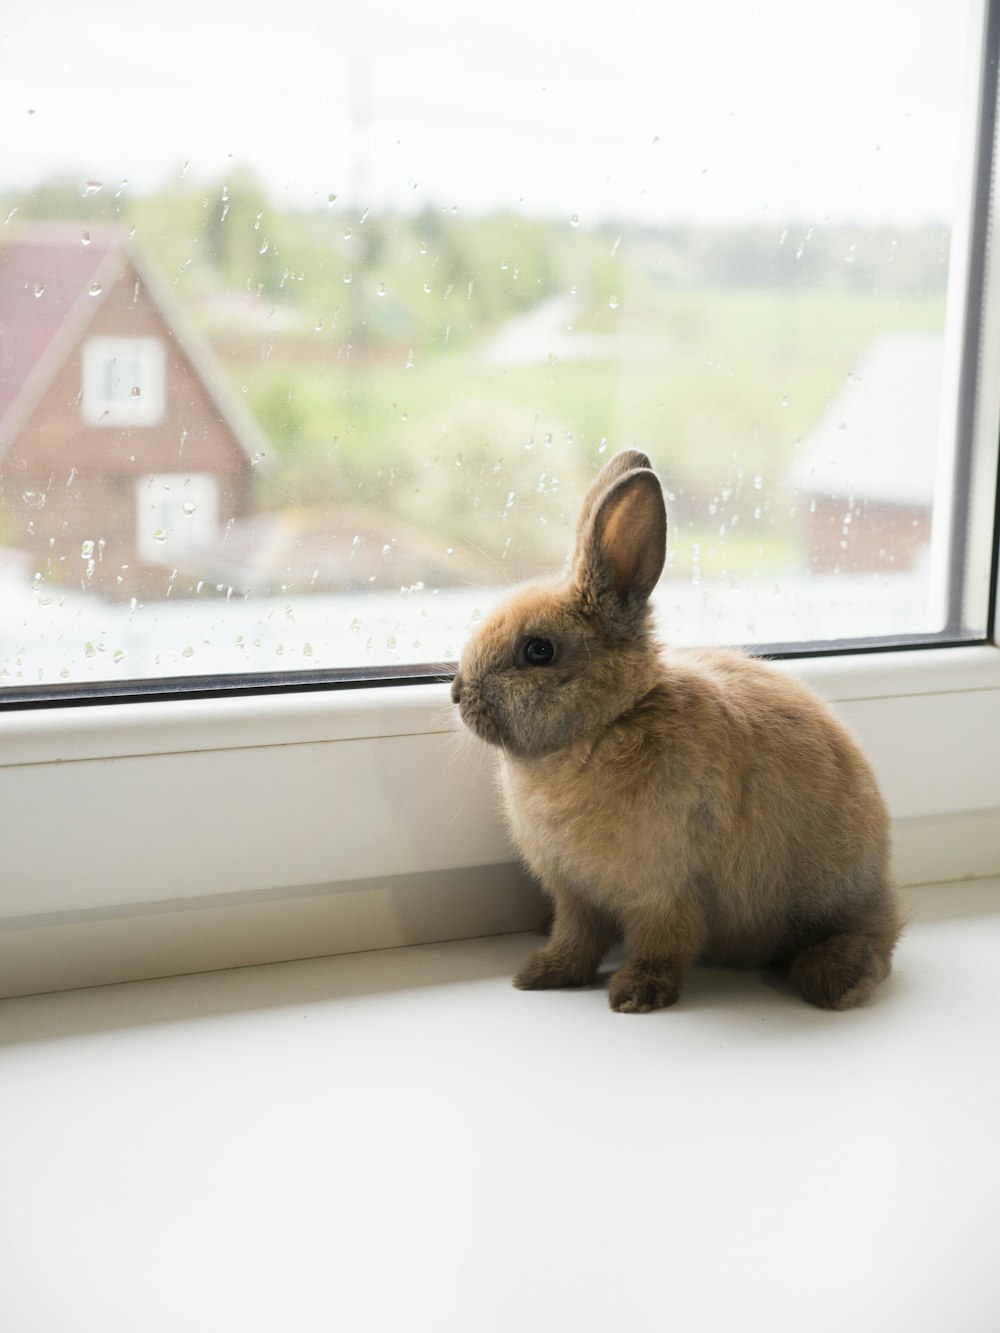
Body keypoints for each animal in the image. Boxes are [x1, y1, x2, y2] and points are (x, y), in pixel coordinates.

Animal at [450, 447, 906, 1007]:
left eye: (539, 650)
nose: (457, 693)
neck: (608, 722)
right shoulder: (575, 893)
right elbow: (576, 937)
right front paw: (541, 974)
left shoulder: (664, 891)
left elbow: (662, 943)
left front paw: (635, 996)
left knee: (876, 940)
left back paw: (834, 982)